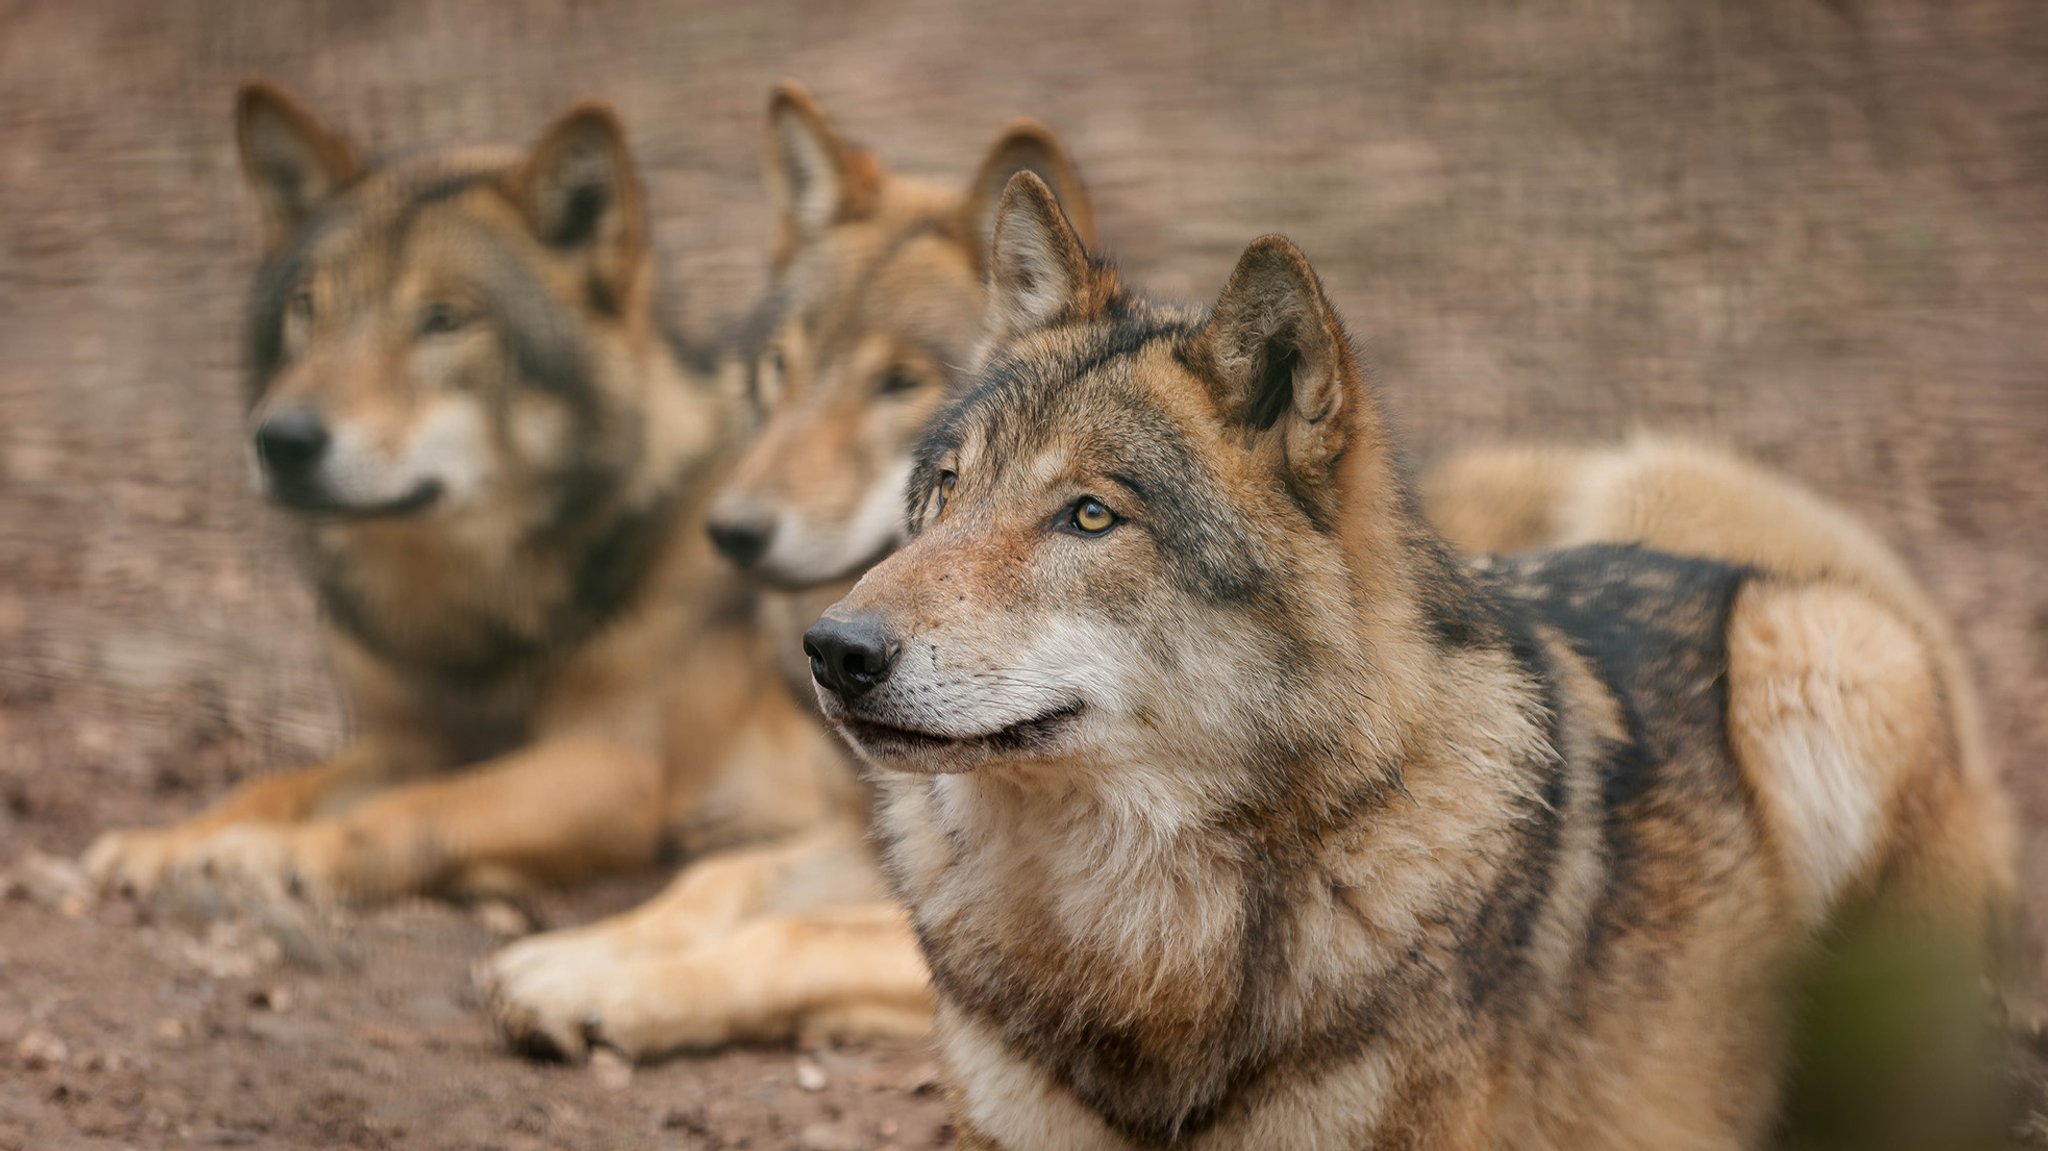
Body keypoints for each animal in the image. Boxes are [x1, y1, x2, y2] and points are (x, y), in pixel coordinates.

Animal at [81, 87, 856, 933]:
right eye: (307, 306)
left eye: (444, 319)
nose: (283, 439)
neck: (467, 613)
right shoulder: (408, 744)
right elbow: (278, 784)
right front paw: (169, 841)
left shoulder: (614, 767)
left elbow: (421, 809)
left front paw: (273, 855)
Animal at [477, 82, 1097, 1056]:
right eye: (779, 365)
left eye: (899, 383)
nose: (730, 530)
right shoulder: (875, 835)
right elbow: (718, 880)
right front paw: (574, 953)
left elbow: (789, 932)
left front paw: (602, 990)